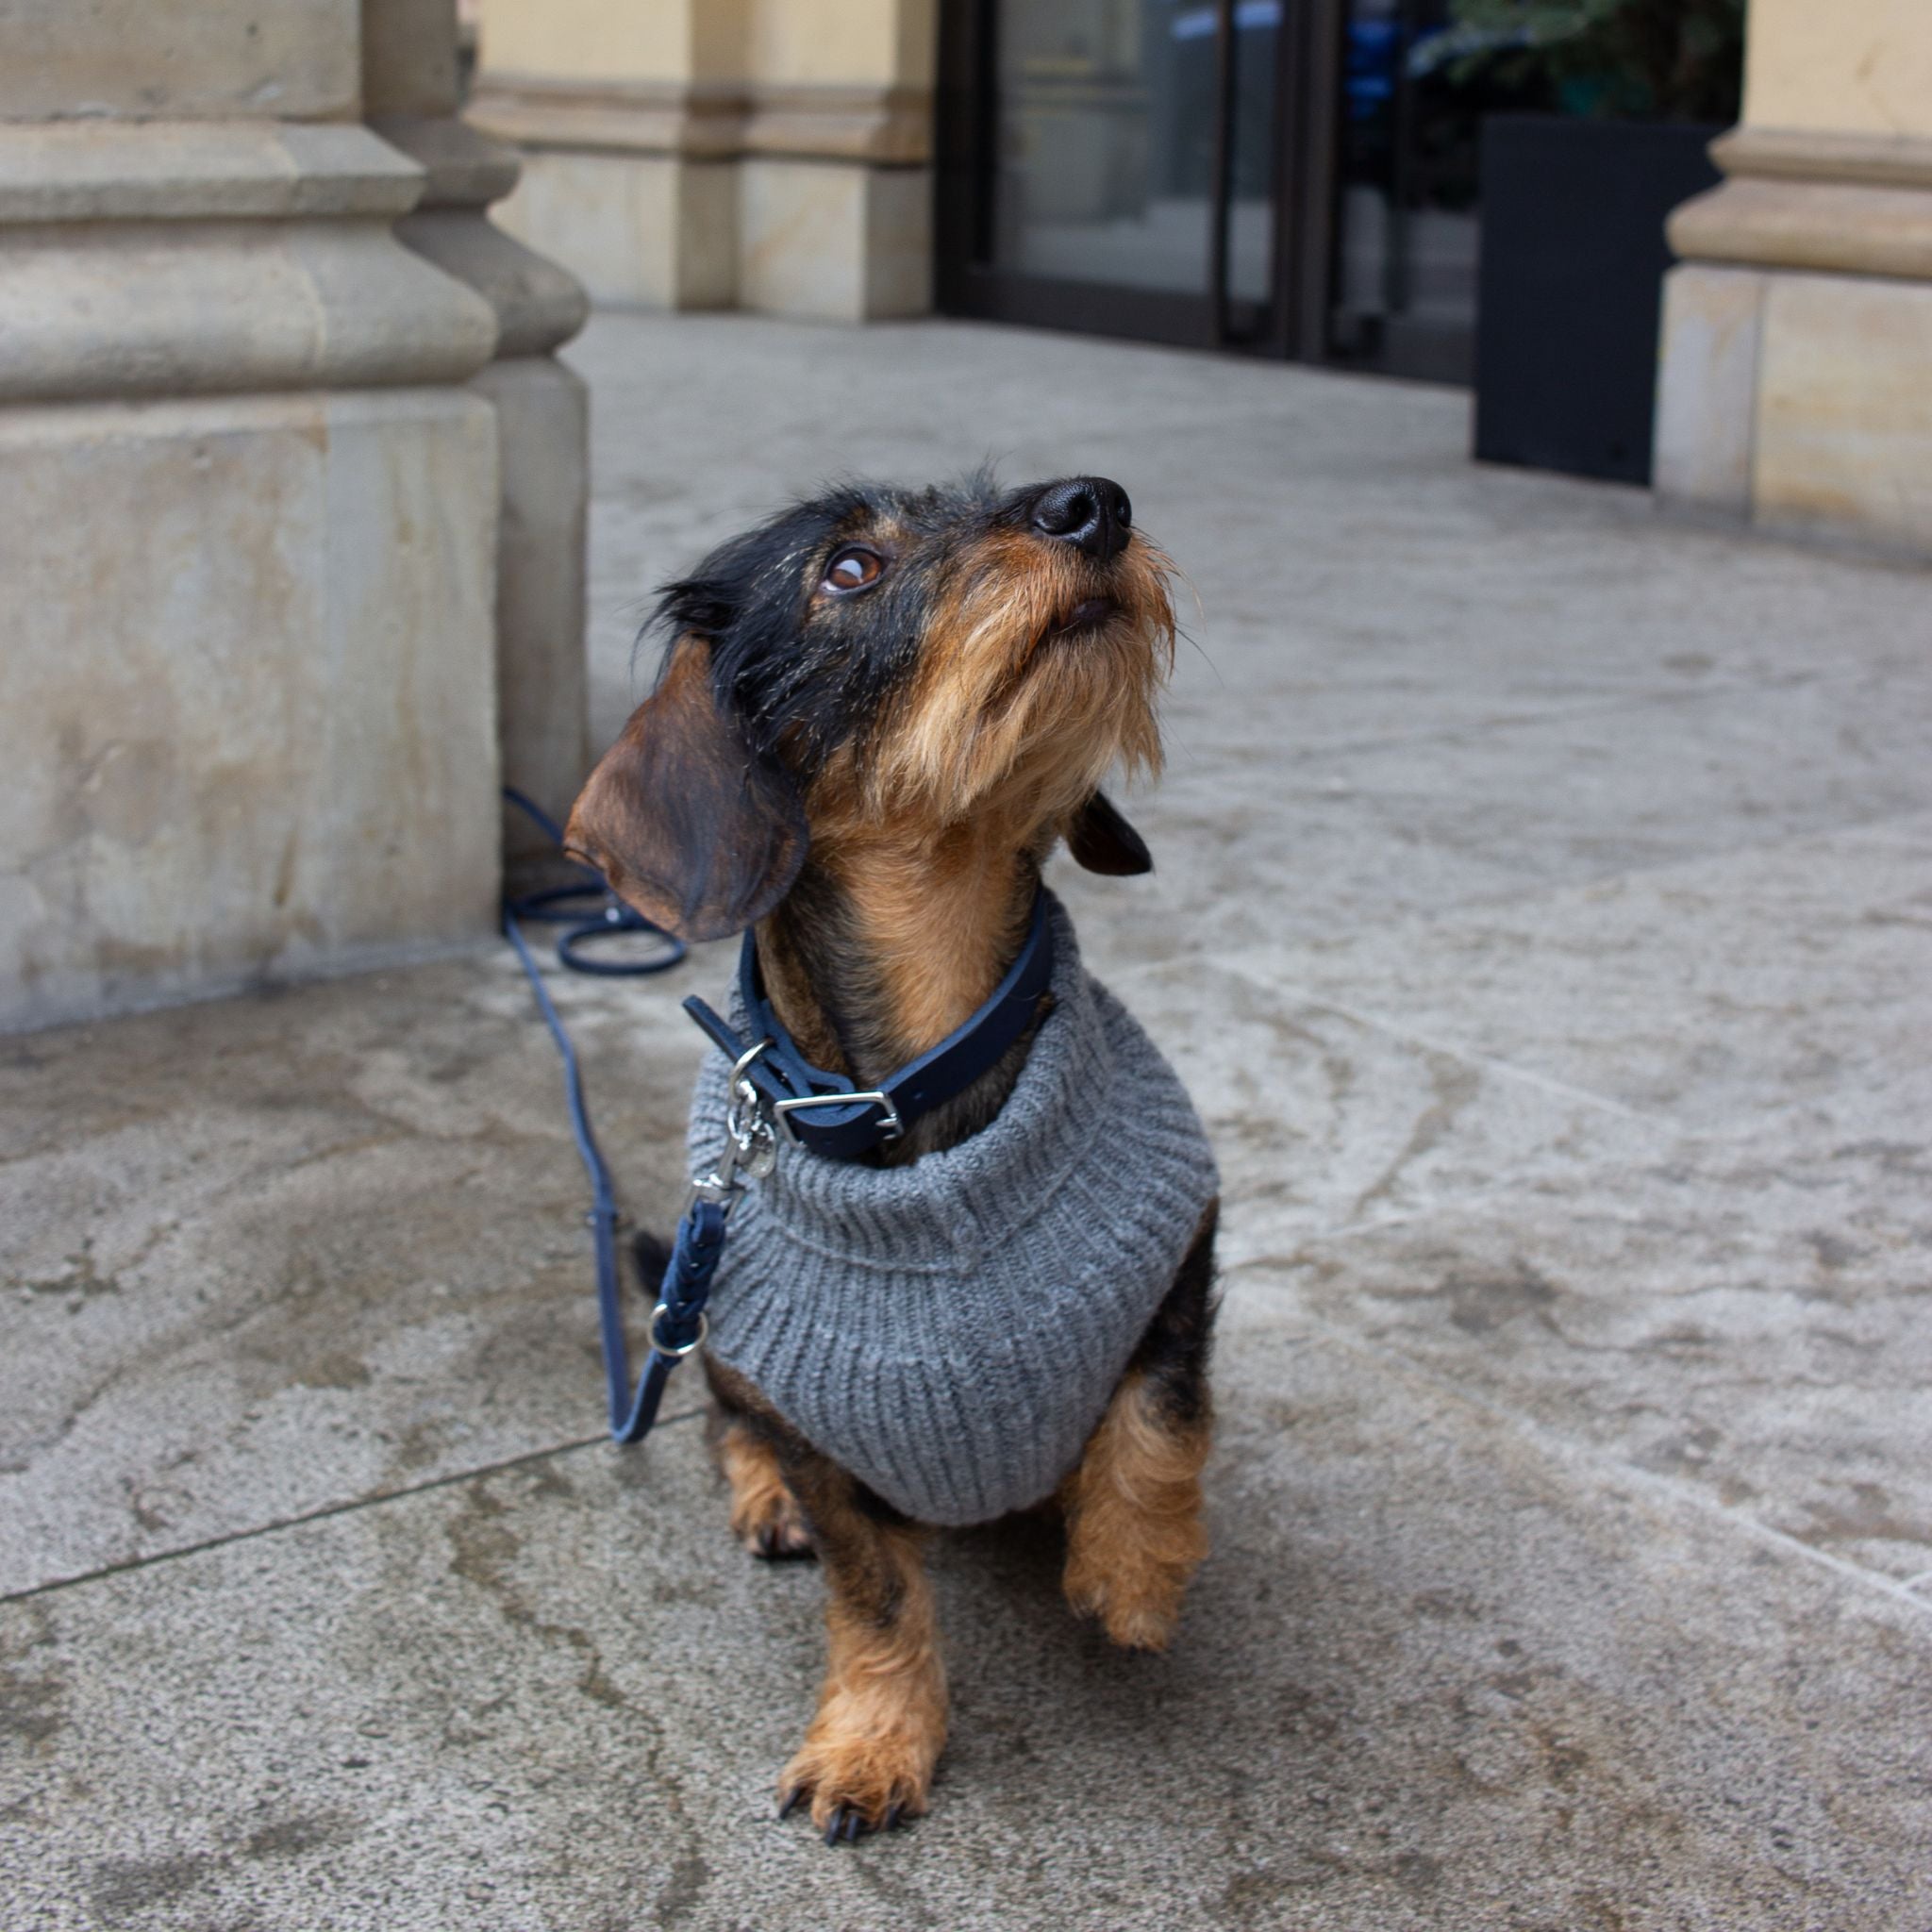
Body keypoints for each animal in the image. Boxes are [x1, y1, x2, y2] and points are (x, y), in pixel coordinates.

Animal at [564, 467, 1221, 1839]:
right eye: (848, 569)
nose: (1094, 502)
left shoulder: (1182, 1233)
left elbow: (1160, 1413)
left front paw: (1132, 1569)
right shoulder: (809, 1418)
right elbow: (872, 1590)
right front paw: (871, 1740)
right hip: (702, 1319)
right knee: (722, 1423)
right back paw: (760, 1499)